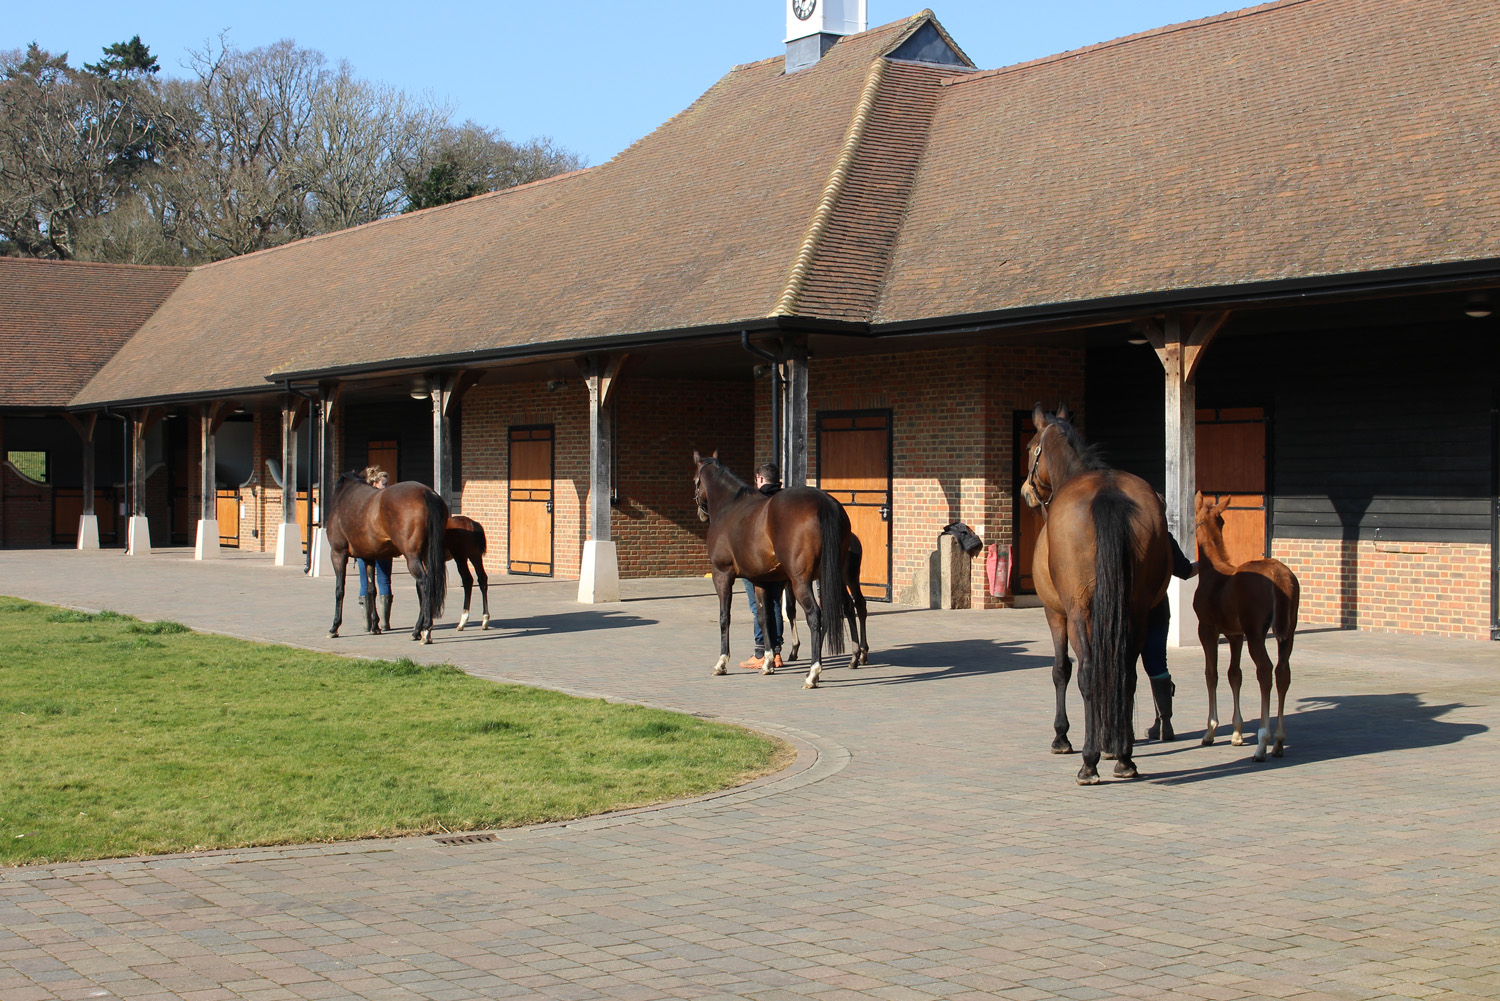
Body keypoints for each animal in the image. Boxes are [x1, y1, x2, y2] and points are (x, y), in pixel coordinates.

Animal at [327, 474, 447, 645]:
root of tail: (427, 492)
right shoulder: (369, 557)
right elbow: (371, 590)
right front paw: (375, 627)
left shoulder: (338, 553)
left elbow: (339, 590)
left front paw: (334, 627)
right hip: (425, 556)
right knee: (422, 588)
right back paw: (417, 630)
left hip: (412, 557)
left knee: (424, 584)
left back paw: (425, 630)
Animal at [690, 453, 870, 690]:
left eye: (695, 480)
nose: (700, 513)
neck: (730, 506)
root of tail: (824, 503)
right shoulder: (760, 580)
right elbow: (765, 618)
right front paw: (767, 663)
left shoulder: (722, 574)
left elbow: (724, 617)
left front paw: (721, 663)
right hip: (834, 577)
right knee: (847, 607)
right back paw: (854, 657)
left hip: (802, 581)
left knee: (816, 615)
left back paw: (813, 673)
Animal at [1020, 402, 1170, 786]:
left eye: (1030, 447)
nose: (1027, 491)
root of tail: (1108, 493)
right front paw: (1111, 744)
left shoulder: (1055, 613)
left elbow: (1061, 670)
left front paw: (1062, 737)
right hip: (1136, 612)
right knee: (1127, 674)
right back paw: (1124, 757)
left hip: (1078, 614)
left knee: (1087, 672)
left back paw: (1089, 762)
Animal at [1194, 492, 1302, 759]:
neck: (1215, 574)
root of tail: (1280, 574)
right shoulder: (1235, 635)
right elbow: (1235, 675)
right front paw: (1237, 733)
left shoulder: (1207, 630)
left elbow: (1211, 674)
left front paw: (1210, 730)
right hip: (1289, 633)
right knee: (1282, 672)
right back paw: (1278, 741)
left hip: (1256, 634)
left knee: (1265, 670)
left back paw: (1263, 743)